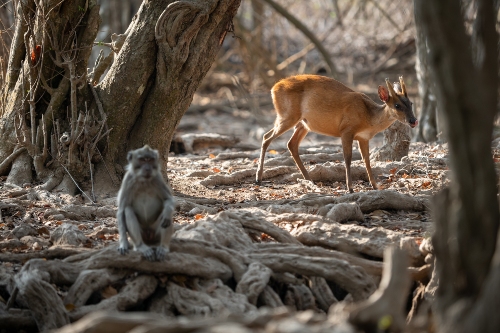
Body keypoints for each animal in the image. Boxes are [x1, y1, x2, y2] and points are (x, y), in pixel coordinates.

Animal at [256, 73, 416, 191]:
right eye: (397, 105)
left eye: (411, 103)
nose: (413, 121)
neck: (368, 117)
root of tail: (273, 88)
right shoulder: (346, 130)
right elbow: (348, 158)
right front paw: (350, 188)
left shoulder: (363, 138)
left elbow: (367, 159)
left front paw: (375, 186)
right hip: (288, 115)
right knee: (266, 137)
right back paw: (258, 178)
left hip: (303, 123)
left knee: (291, 144)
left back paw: (309, 179)